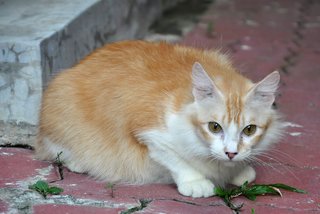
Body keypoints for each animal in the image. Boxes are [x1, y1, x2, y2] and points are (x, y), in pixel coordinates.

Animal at [35, 39, 284, 197]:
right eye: (214, 127)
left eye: (249, 130)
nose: (231, 153)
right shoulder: (149, 134)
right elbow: (176, 160)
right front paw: (195, 182)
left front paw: (239, 170)